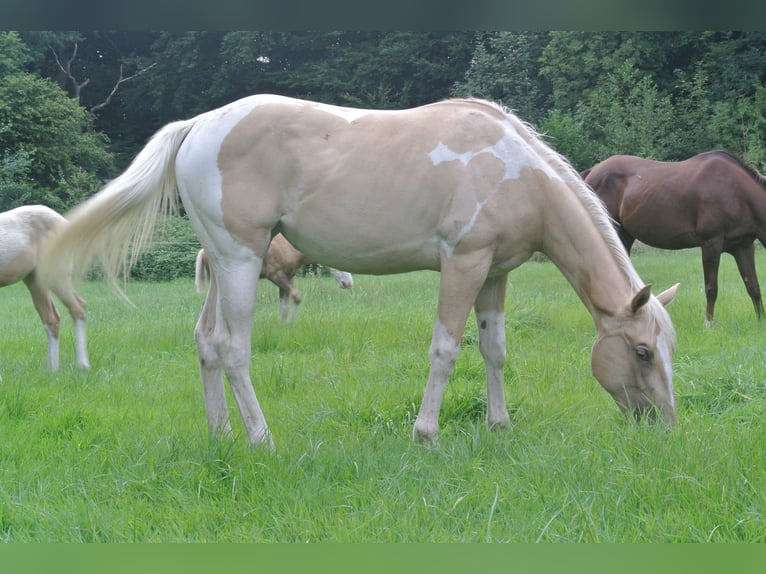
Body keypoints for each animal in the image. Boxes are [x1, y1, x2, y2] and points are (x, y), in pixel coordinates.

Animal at [0, 205, 91, 372]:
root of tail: (64, 222)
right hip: (35, 280)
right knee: (51, 318)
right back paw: (52, 369)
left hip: (57, 277)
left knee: (78, 307)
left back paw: (82, 365)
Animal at [196, 234, 356, 324]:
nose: (348, 283)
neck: (289, 248)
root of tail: (204, 251)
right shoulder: (276, 276)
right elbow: (297, 297)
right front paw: (290, 323)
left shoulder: (287, 279)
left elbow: (284, 306)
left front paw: (284, 327)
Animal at [584, 151, 766, 326]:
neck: (736, 193)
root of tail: (592, 172)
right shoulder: (711, 243)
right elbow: (711, 288)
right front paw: (708, 324)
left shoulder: (743, 247)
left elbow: (753, 286)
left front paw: (760, 321)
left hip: (625, 237)